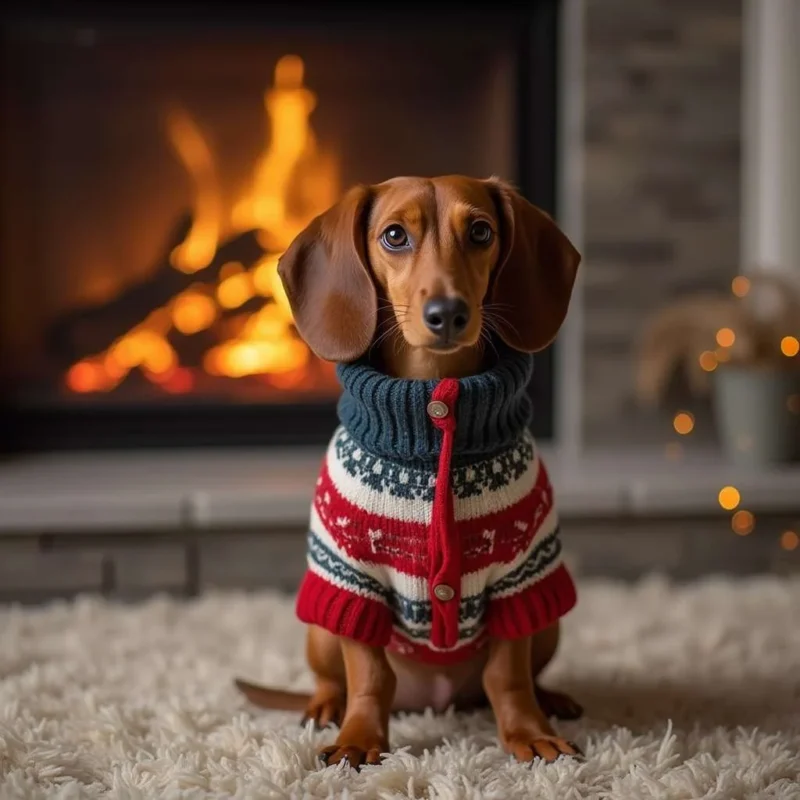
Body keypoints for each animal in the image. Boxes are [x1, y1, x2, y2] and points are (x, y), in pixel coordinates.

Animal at [236, 177, 580, 768]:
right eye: (394, 235)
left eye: (481, 232)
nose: (448, 312)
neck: (431, 404)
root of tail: (435, 702)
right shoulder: (354, 580)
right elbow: (369, 676)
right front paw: (358, 738)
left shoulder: (520, 579)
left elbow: (508, 675)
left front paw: (528, 731)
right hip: (321, 624)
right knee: (333, 679)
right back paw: (325, 708)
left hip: (549, 621)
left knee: (521, 675)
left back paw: (552, 699)